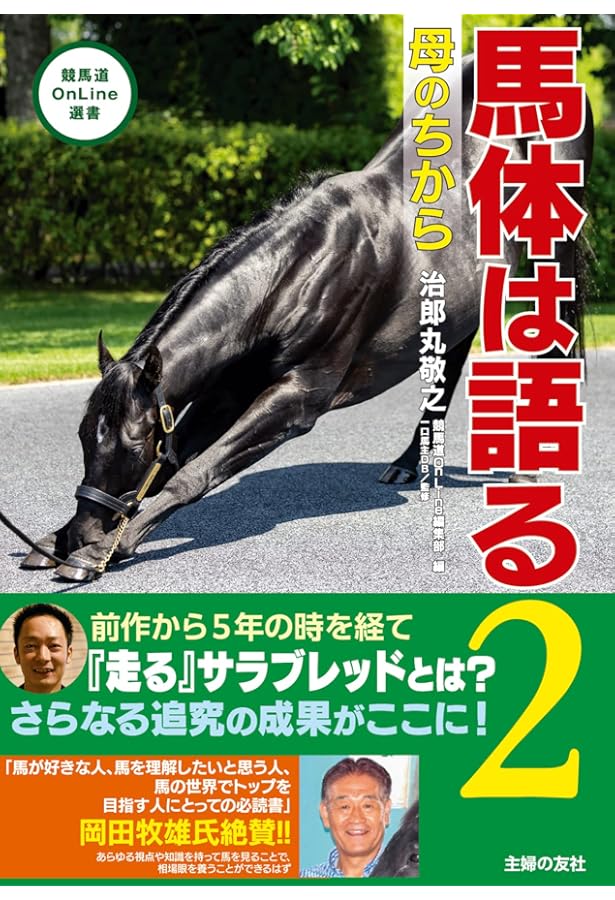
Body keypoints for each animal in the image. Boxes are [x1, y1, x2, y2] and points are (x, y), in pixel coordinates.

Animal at [20, 56, 593, 581]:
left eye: (134, 442)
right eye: (82, 434)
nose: (87, 528)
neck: (297, 272)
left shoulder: (298, 398)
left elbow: (193, 473)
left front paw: (101, 548)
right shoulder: (226, 390)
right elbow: (179, 458)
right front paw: (60, 539)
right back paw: (409, 462)